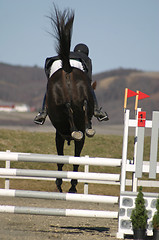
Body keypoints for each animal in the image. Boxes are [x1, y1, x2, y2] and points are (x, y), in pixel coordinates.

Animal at [46, 7, 95, 193]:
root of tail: (67, 67)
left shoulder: (59, 136)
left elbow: (64, 160)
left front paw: (64, 184)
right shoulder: (63, 137)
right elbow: (73, 160)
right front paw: (69, 185)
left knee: (69, 107)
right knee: (82, 106)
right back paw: (85, 128)